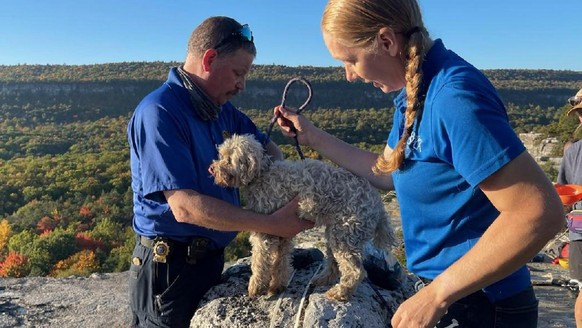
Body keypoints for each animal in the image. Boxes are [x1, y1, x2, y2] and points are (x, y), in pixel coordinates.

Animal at [210, 134, 396, 302]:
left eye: (229, 159)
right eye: (221, 155)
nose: (211, 168)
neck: (262, 174)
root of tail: (378, 204)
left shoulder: (265, 232)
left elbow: (260, 260)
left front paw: (256, 286)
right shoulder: (280, 231)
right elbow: (281, 261)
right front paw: (277, 285)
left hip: (345, 234)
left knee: (355, 271)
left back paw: (339, 294)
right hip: (336, 233)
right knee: (335, 265)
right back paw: (322, 280)